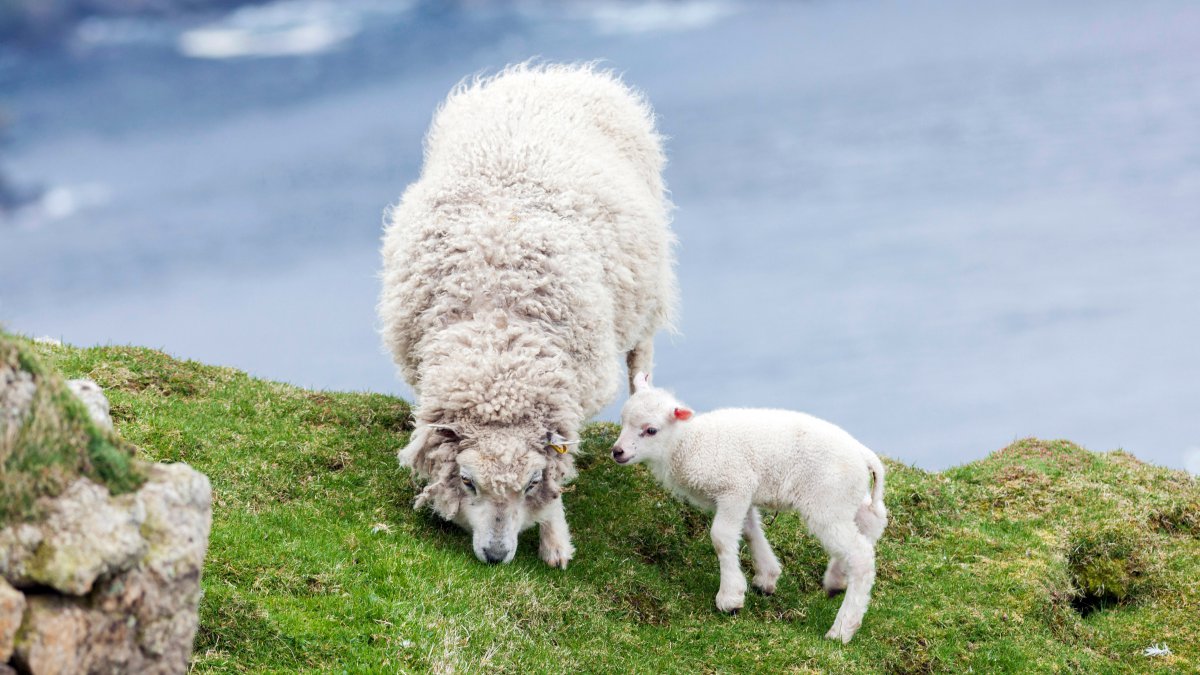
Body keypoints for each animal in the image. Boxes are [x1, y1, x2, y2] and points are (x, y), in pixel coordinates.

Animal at [376, 64, 676, 566]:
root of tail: (555, 73)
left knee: (642, 356)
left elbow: (558, 474)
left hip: (646, 287)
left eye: (531, 482)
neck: (498, 340)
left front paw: (555, 542)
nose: (496, 555)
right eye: (467, 481)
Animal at [614, 372, 888, 638]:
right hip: (843, 497)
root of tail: (864, 455)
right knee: (872, 519)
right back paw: (836, 581)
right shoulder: (742, 492)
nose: (617, 451)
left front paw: (730, 598)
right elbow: (749, 531)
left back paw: (842, 629)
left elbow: (722, 536)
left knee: (861, 556)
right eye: (623, 420)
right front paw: (766, 577)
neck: (688, 443)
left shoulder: (734, 486)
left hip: (827, 501)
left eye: (651, 430)